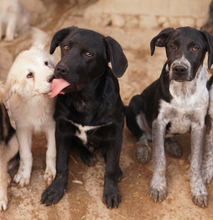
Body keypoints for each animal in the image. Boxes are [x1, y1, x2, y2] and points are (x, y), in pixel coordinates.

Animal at [5, 43, 56, 187]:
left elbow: (51, 152)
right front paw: (23, 175)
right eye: (29, 75)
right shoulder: (22, 129)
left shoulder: (52, 126)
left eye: (46, 63)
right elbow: (25, 154)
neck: (37, 102)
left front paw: (50, 173)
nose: (53, 77)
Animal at [41, 26, 128, 208]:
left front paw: (111, 191)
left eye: (88, 54)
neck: (84, 100)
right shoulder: (62, 130)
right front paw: (56, 189)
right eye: (65, 46)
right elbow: (61, 164)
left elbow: (110, 167)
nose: (60, 69)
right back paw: (87, 154)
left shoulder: (115, 133)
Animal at [125, 26, 213, 207]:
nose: (179, 69)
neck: (183, 91)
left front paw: (199, 190)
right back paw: (143, 149)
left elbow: (196, 163)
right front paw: (158, 186)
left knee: (166, 136)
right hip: (135, 101)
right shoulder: (159, 121)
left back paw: (172, 145)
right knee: (142, 135)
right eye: (172, 46)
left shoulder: (199, 124)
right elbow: (160, 159)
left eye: (196, 48)